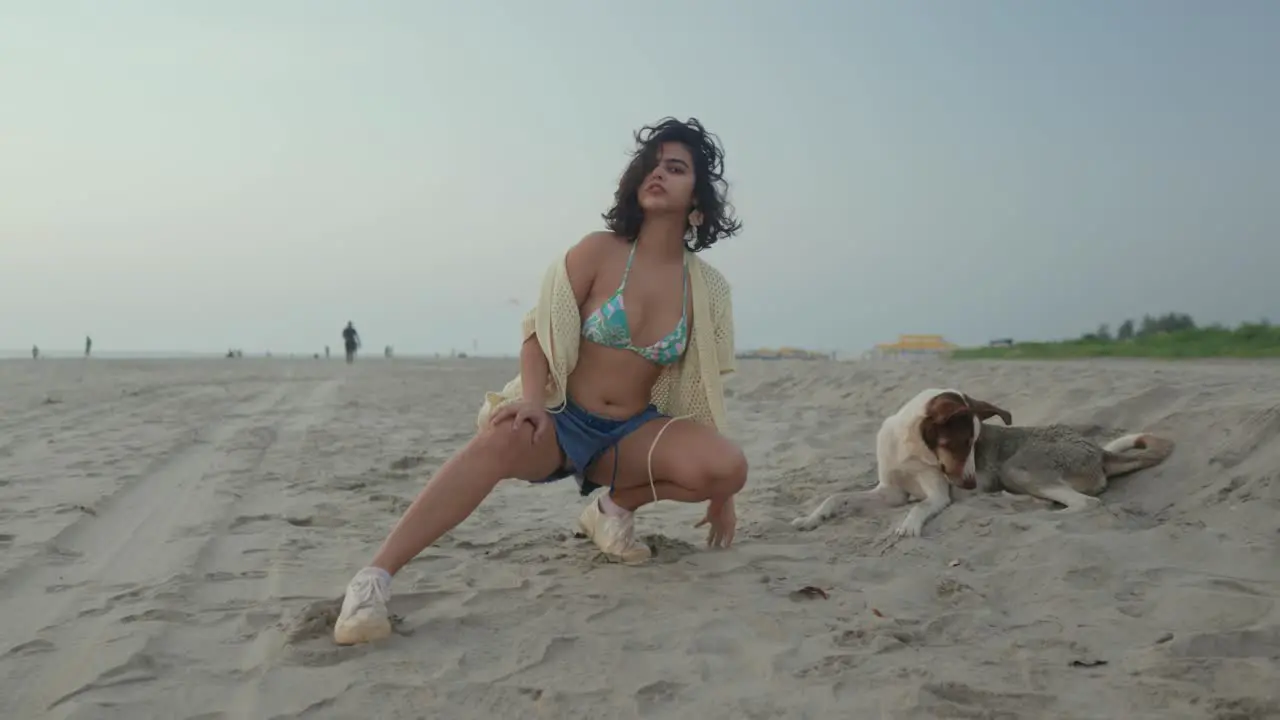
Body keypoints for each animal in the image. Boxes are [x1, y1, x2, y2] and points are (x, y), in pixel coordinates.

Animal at [788, 386, 1008, 532]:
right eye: (962, 443)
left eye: (975, 444)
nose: (971, 485)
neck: (912, 449)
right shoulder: (891, 492)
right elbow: (835, 497)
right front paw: (812, 518)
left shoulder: (938, 495)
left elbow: (921, 505)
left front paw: (909, 526)